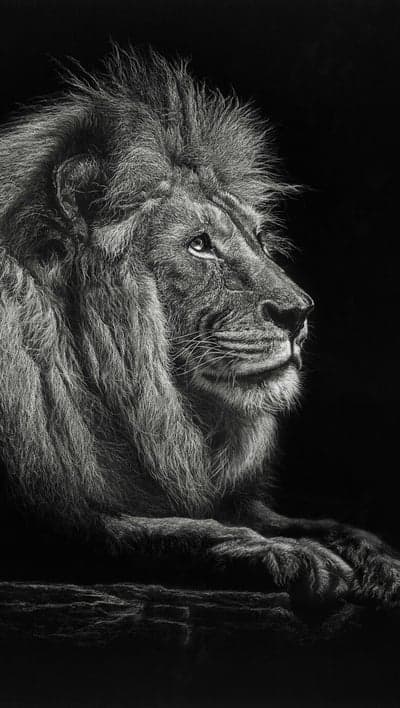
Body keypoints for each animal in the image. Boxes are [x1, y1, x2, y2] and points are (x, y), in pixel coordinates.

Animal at [0, 46, 398, 603]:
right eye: (198, 244)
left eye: (258, 238)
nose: (299, 312)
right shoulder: (53, 525)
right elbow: (170, 532)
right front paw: (290, 555)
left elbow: (307, 521)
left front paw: (376, 557)